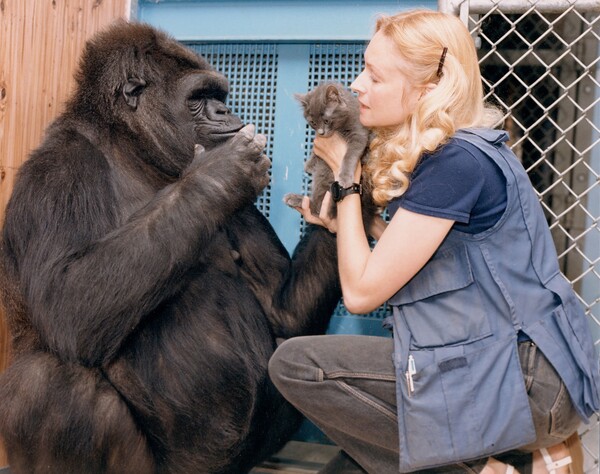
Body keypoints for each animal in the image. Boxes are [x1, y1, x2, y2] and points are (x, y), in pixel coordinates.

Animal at [0, 20, 342, 472]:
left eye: (219, 97)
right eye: (198, 99)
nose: (226, 113)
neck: (131, 147)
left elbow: (283, 311)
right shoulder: (57, 171)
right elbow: (66, 301)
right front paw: (219, 174)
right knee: (50, 382)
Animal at [284, 82, 370, 218]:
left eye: (326, 120)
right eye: (313, 122)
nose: (321, 132)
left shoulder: (359, 132)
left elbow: (350, 155)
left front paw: (345, 177)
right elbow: (315, 151)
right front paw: (309, 164)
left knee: (317, 208)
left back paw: (297, 199)